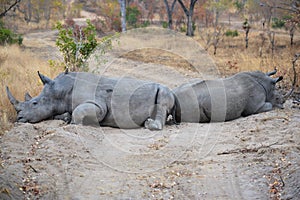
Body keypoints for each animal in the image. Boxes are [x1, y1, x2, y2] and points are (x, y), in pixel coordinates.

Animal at [6, 71, 176, 130]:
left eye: (34, 103)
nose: (19, 118)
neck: (60, 91)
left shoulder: (98, 105)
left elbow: (79, 112)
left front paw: (73, 123)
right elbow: (66, 113)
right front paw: (65, 118)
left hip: (165, 91)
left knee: (162, 101)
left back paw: (149, 125)